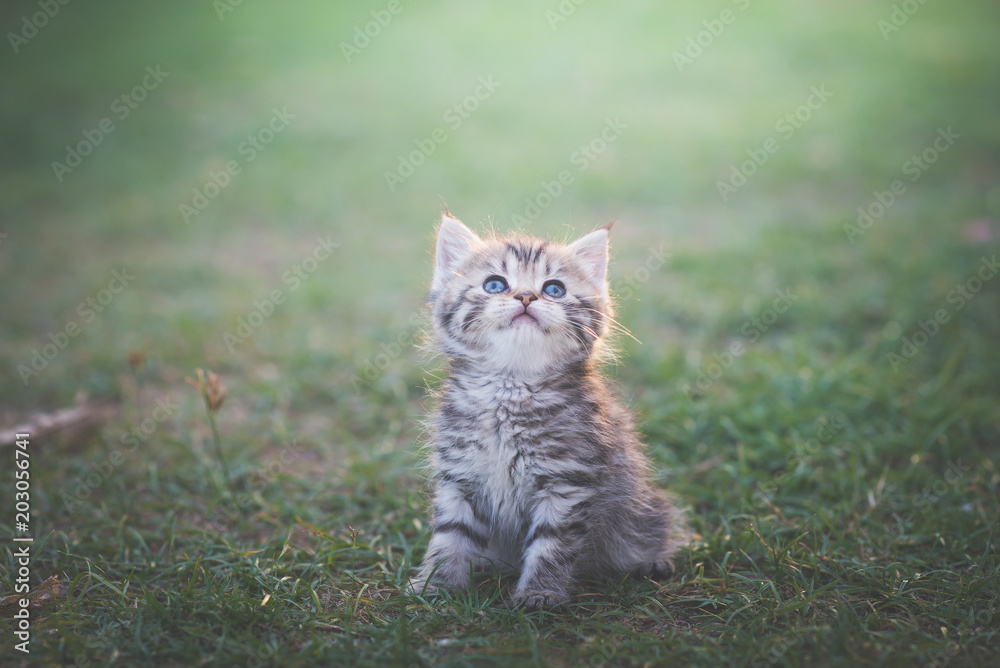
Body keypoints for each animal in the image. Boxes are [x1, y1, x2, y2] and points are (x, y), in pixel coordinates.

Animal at [410, 214, 684, 612]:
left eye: (554, 289)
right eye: (495, 285)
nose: (526, 296)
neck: (510, 387)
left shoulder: (567, 481)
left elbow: (551, 545)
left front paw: (539, 593)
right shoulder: (459, 476)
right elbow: (450, 535)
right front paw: (437, 584)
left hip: (644, 510)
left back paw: (650, 562)